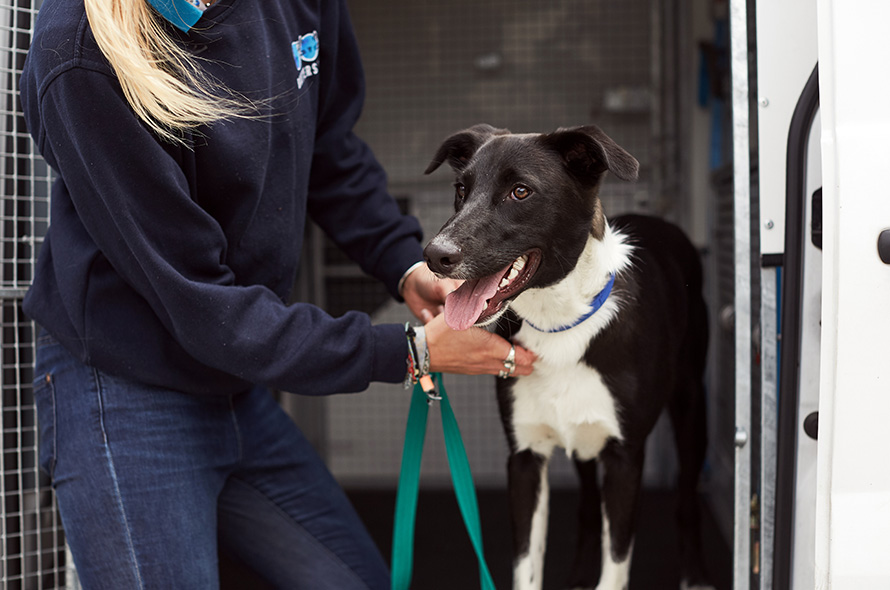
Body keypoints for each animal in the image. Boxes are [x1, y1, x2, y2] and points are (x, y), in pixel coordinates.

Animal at [422, 126, 708, 590]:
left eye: (520, 192)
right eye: (460, 190)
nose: (434, 256)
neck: (560, 322)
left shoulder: (626, 459)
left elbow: (615, 566)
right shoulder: (524, 457)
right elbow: (526, 566)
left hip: (690, 405)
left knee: (686, 497)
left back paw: (696, 574)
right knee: (589, 505)